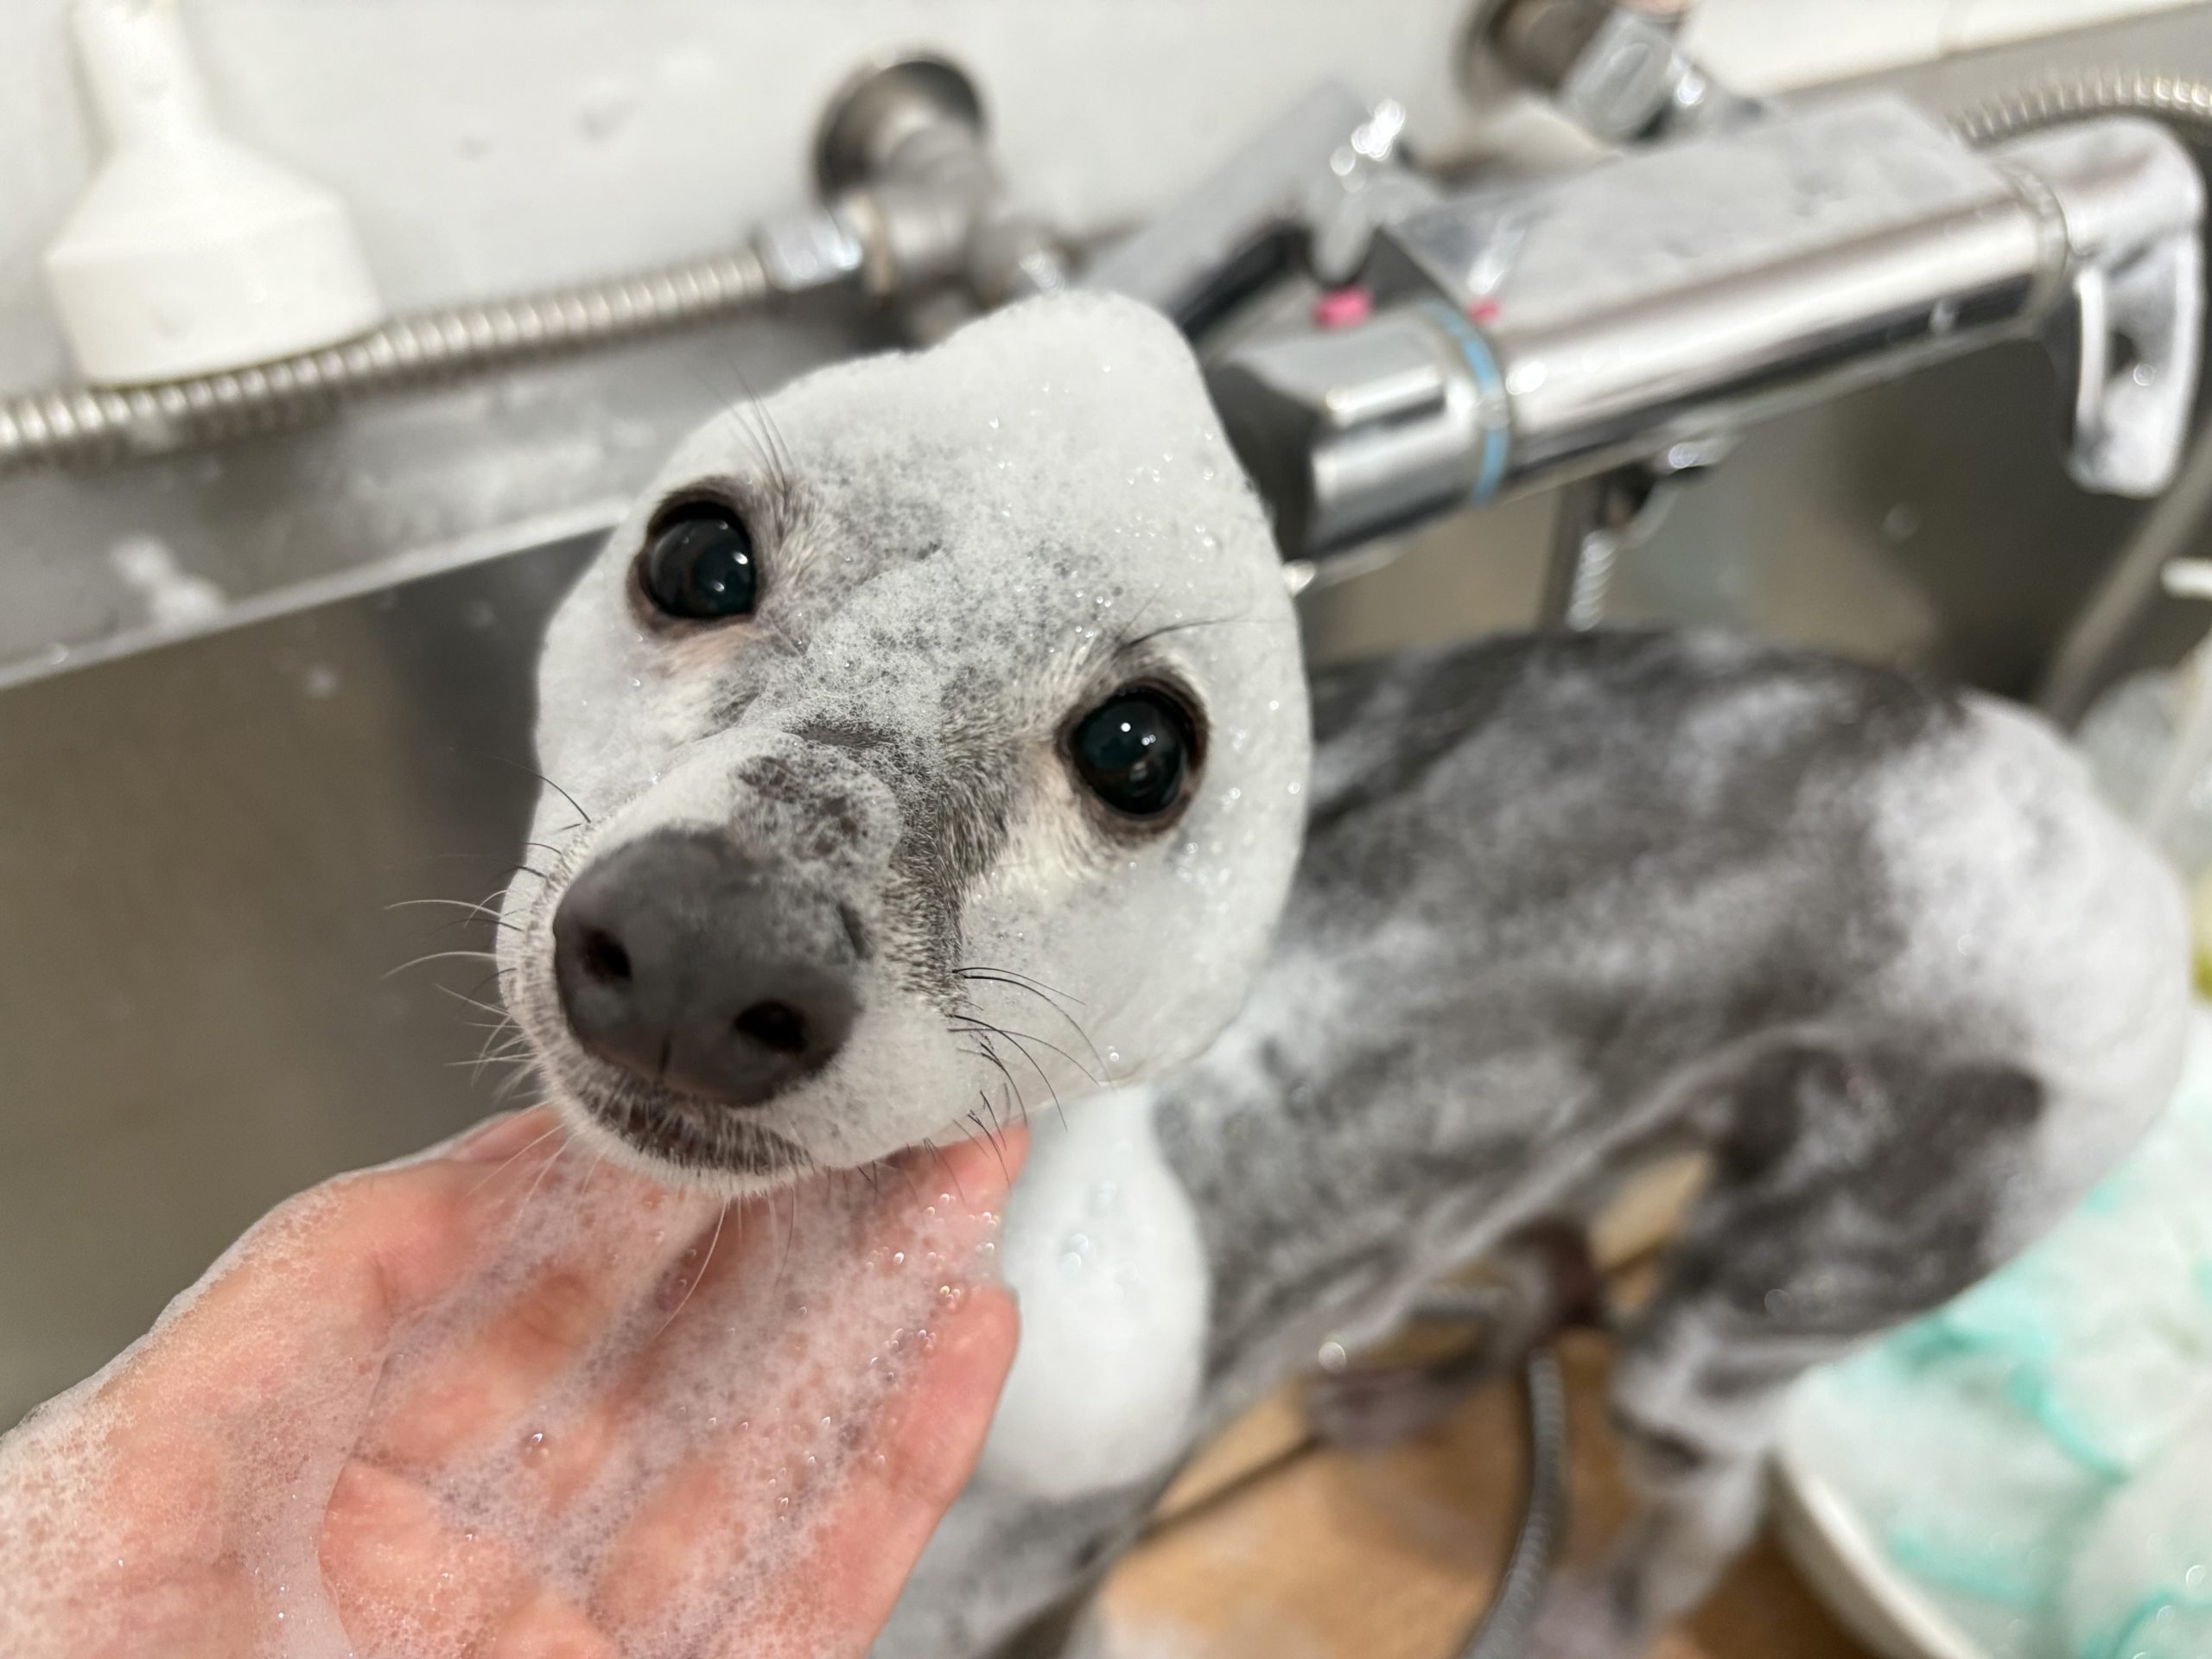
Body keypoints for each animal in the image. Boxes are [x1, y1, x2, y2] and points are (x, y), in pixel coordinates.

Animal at [499, 293, 2190, 1656]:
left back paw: (1588, 1617)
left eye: (1141, 748)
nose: (701, 955)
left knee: (1705, 1491)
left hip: (1781, 1285)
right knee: (1555, 1267)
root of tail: (2093, 823)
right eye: (696, 553)